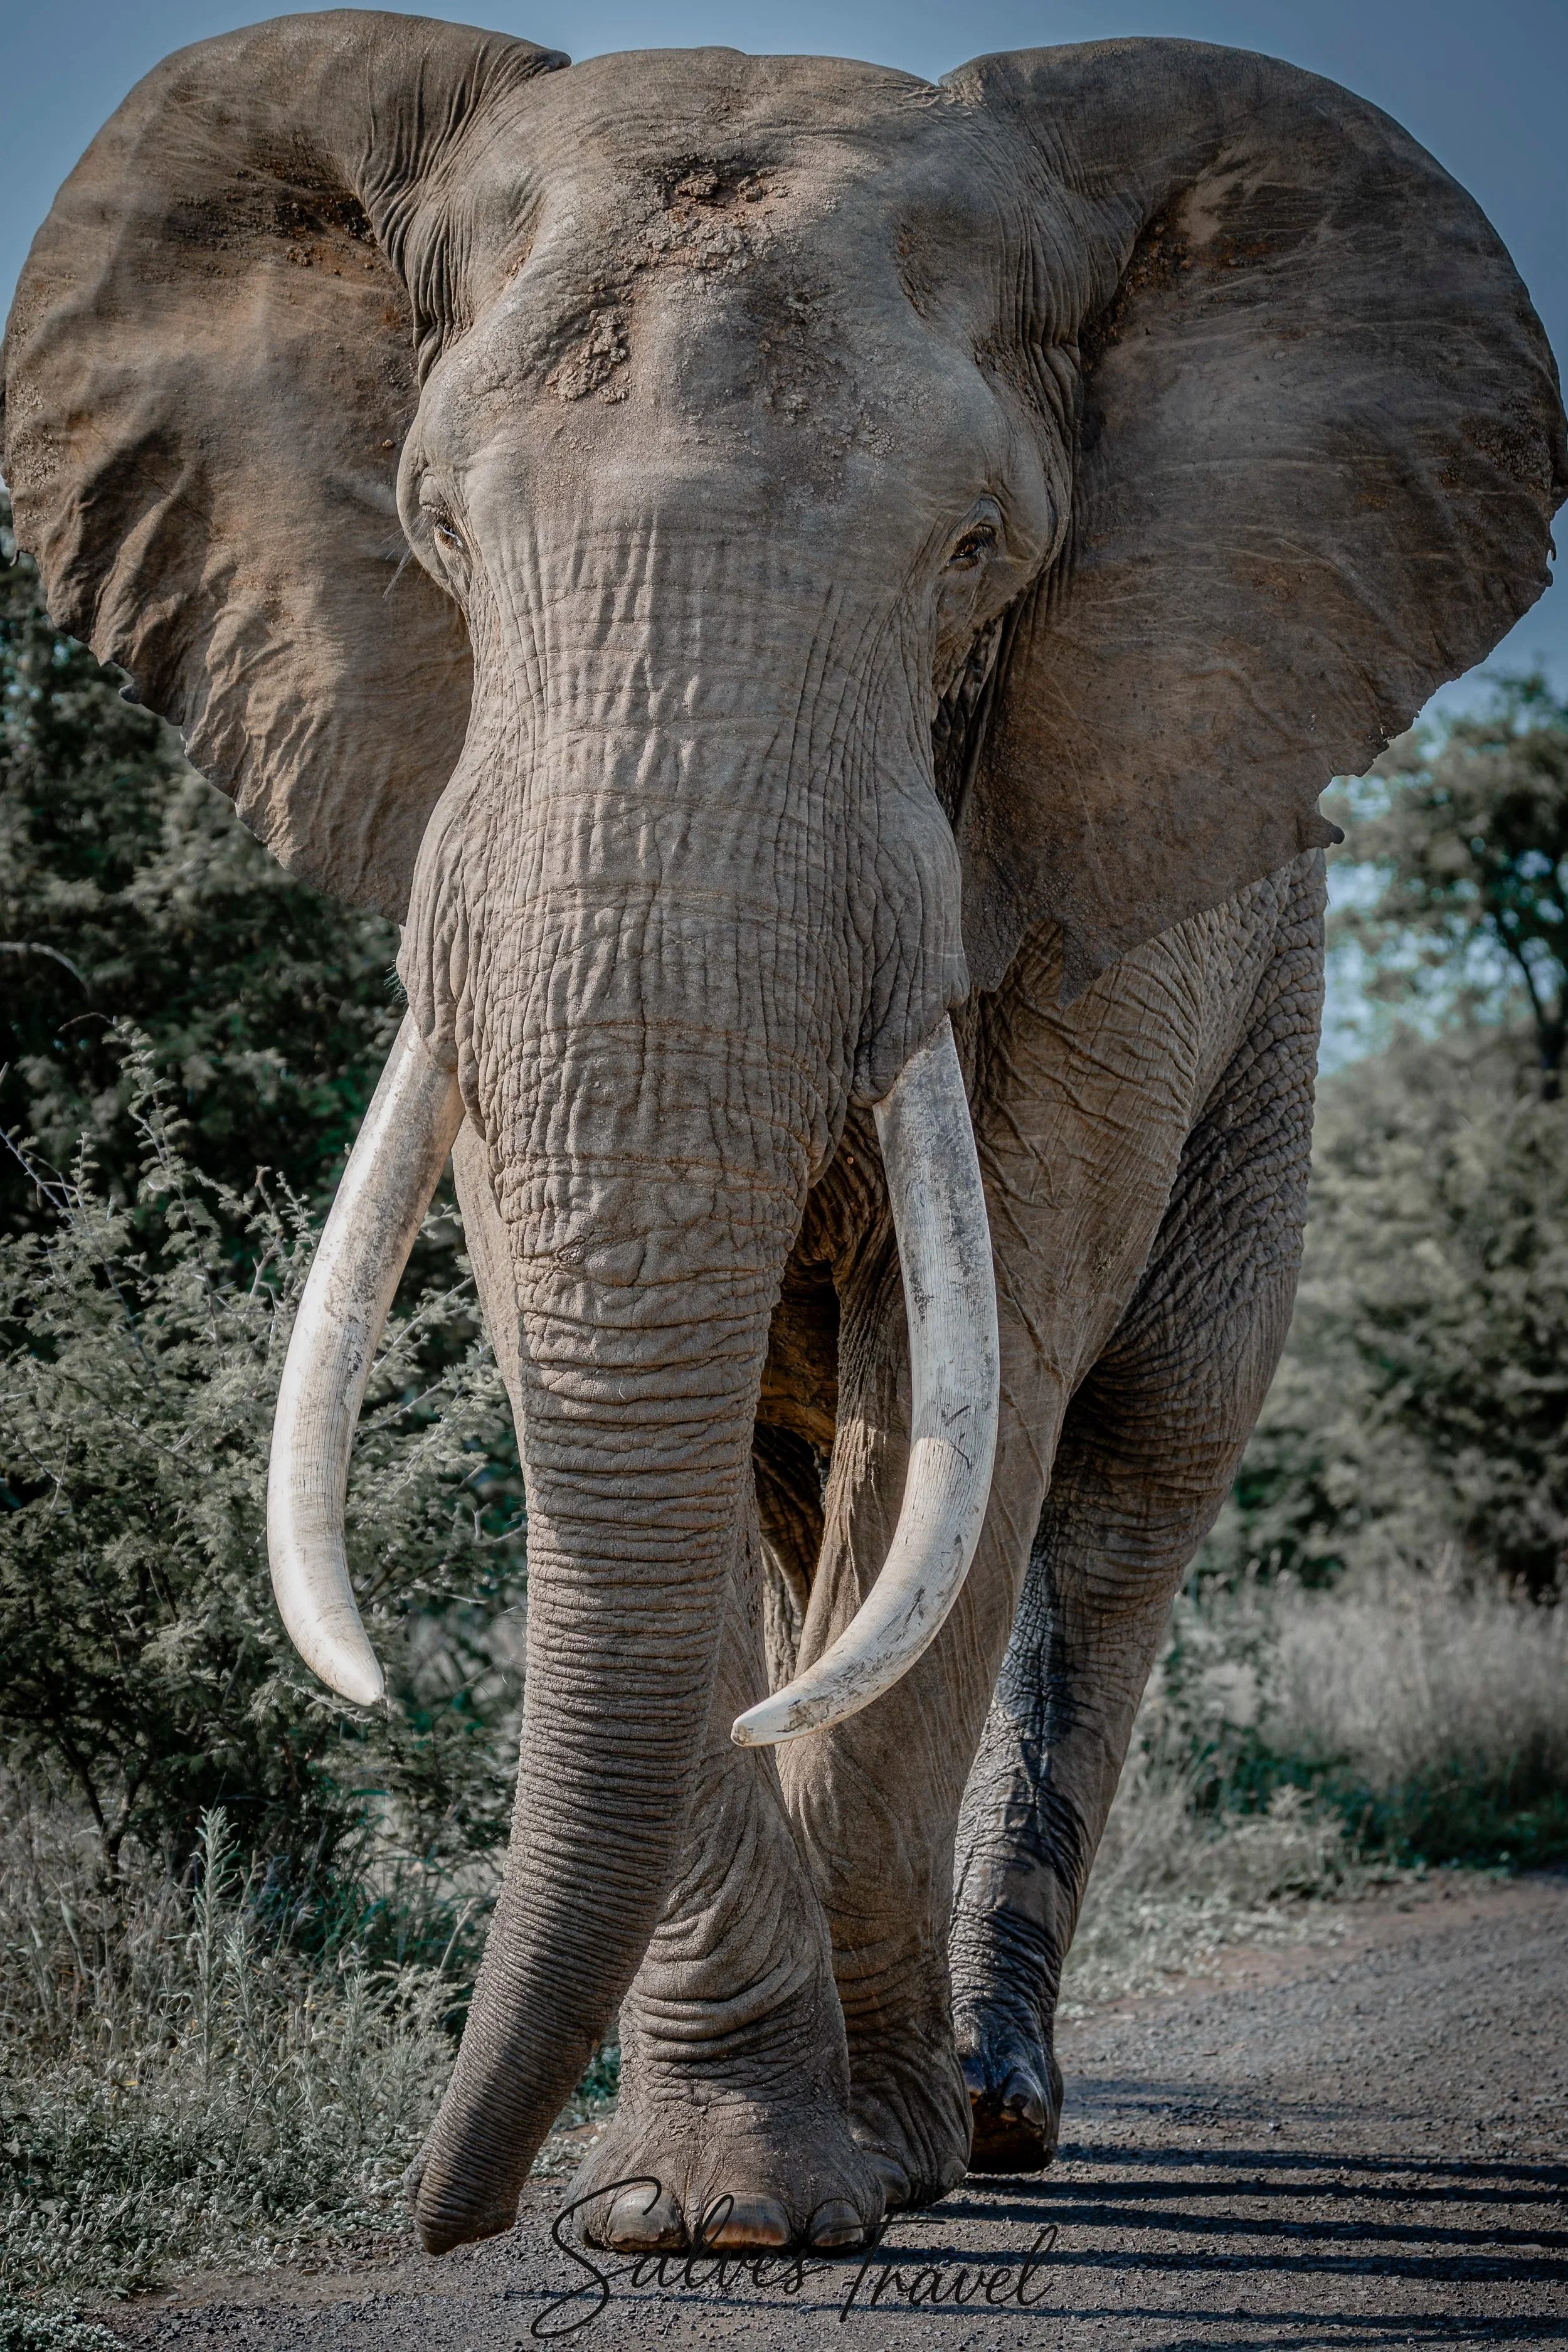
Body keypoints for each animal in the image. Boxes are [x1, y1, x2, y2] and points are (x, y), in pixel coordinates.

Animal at [4, 8, 1563, 2265]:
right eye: (435, 537)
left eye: (978, 553)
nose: (437, 2217)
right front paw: (698, 2212)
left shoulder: (1087, 851)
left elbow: (977, 1371)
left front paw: (819, 2183)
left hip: (1270, 979)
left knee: (1128, 1479)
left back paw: (989, 2112)